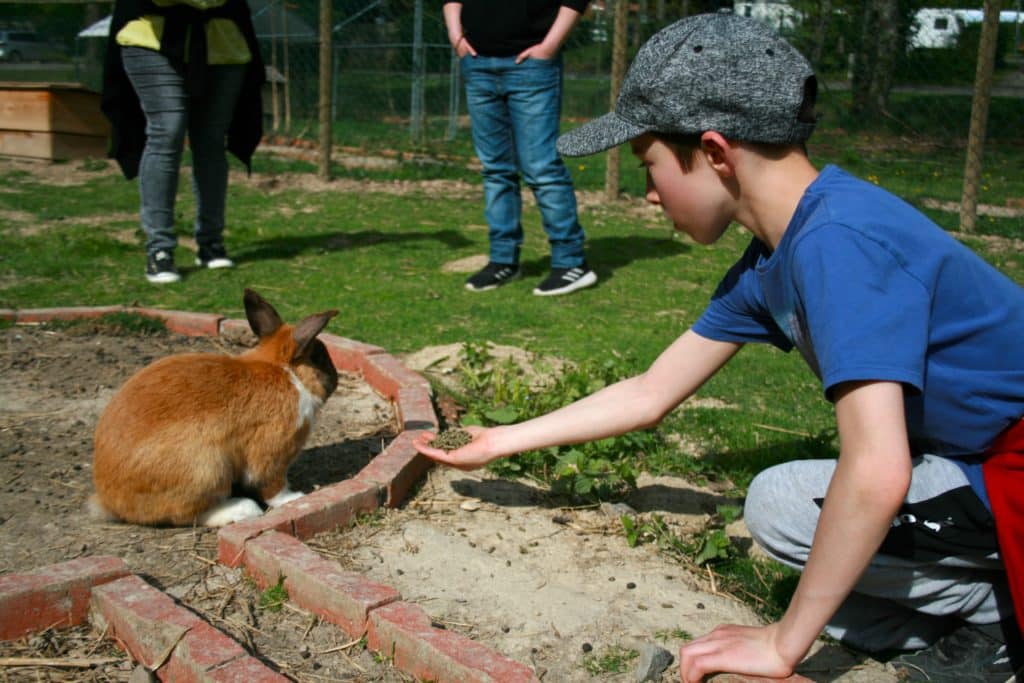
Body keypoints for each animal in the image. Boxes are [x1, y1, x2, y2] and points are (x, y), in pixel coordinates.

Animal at [92, 288, 339, 528]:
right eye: (318, 358)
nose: (336, 379)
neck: (284, 372)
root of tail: (109, 501)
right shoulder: (272, 452)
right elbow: (273, 486)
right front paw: (296, 497)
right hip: (206, 469)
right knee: (188, 514)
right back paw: (242, 509)